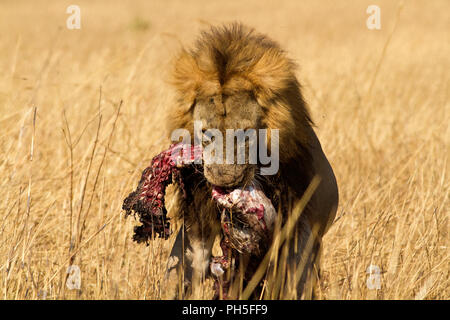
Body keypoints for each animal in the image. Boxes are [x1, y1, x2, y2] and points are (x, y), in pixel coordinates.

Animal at [164, 23, 338, 300]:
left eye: (245, 133)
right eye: (206, 133)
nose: (225, 181)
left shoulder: (298, 225)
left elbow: (294, 278)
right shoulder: (197, 220)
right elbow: (181, 266)